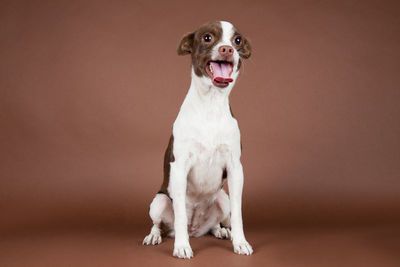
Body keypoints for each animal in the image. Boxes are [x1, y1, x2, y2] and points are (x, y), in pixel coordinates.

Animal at [142, 21, 252, 260]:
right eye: (207, 38)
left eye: (237, 40)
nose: (227, 49)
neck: (211, 104)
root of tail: (196, 230)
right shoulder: (179, 167)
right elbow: (181, 215)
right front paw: (182, 246)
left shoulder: (235, 169)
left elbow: (238, 214)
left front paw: (240, 242)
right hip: (158, 202)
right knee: (159, 224)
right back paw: (155, 236)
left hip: (223, 199)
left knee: (217, 222)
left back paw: (222, 231)